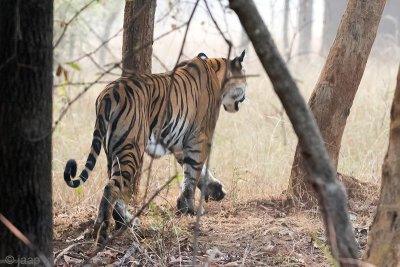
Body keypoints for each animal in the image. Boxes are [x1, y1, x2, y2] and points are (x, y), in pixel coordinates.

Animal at [63, 50, 247, 243]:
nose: (245, 95)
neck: (215, 68)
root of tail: (108, 94)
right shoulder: (200, 137)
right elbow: (193, 174)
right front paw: (191, 209)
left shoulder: (180, 143)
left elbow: (196, 171)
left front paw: (214, 190)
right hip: (131, 149)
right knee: (111, 187)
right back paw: (103, 230)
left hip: (113, 152)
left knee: (115, 186)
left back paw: (127, 222)